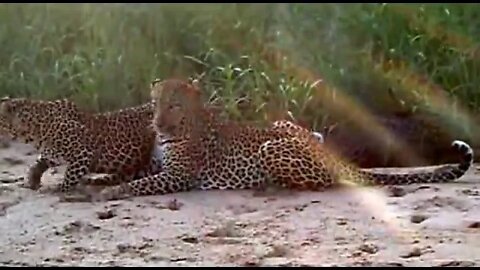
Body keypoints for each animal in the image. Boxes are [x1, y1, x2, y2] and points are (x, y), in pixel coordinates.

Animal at [0, 98, 165, 193]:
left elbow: (69, 176)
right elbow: (41, 161)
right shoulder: (52, 152)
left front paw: (58, 188)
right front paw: (32, 178)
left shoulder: (83, 152)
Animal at [95, 78, 474, 200]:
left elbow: (137, 184)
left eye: (174, 105)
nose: (158, 124)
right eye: (156, 104)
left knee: (324, 183)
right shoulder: (156, 166)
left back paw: (271, 186)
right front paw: (97, 183)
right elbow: (130, 173)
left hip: (271, 147)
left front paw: (110, 192)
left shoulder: (177, 176)